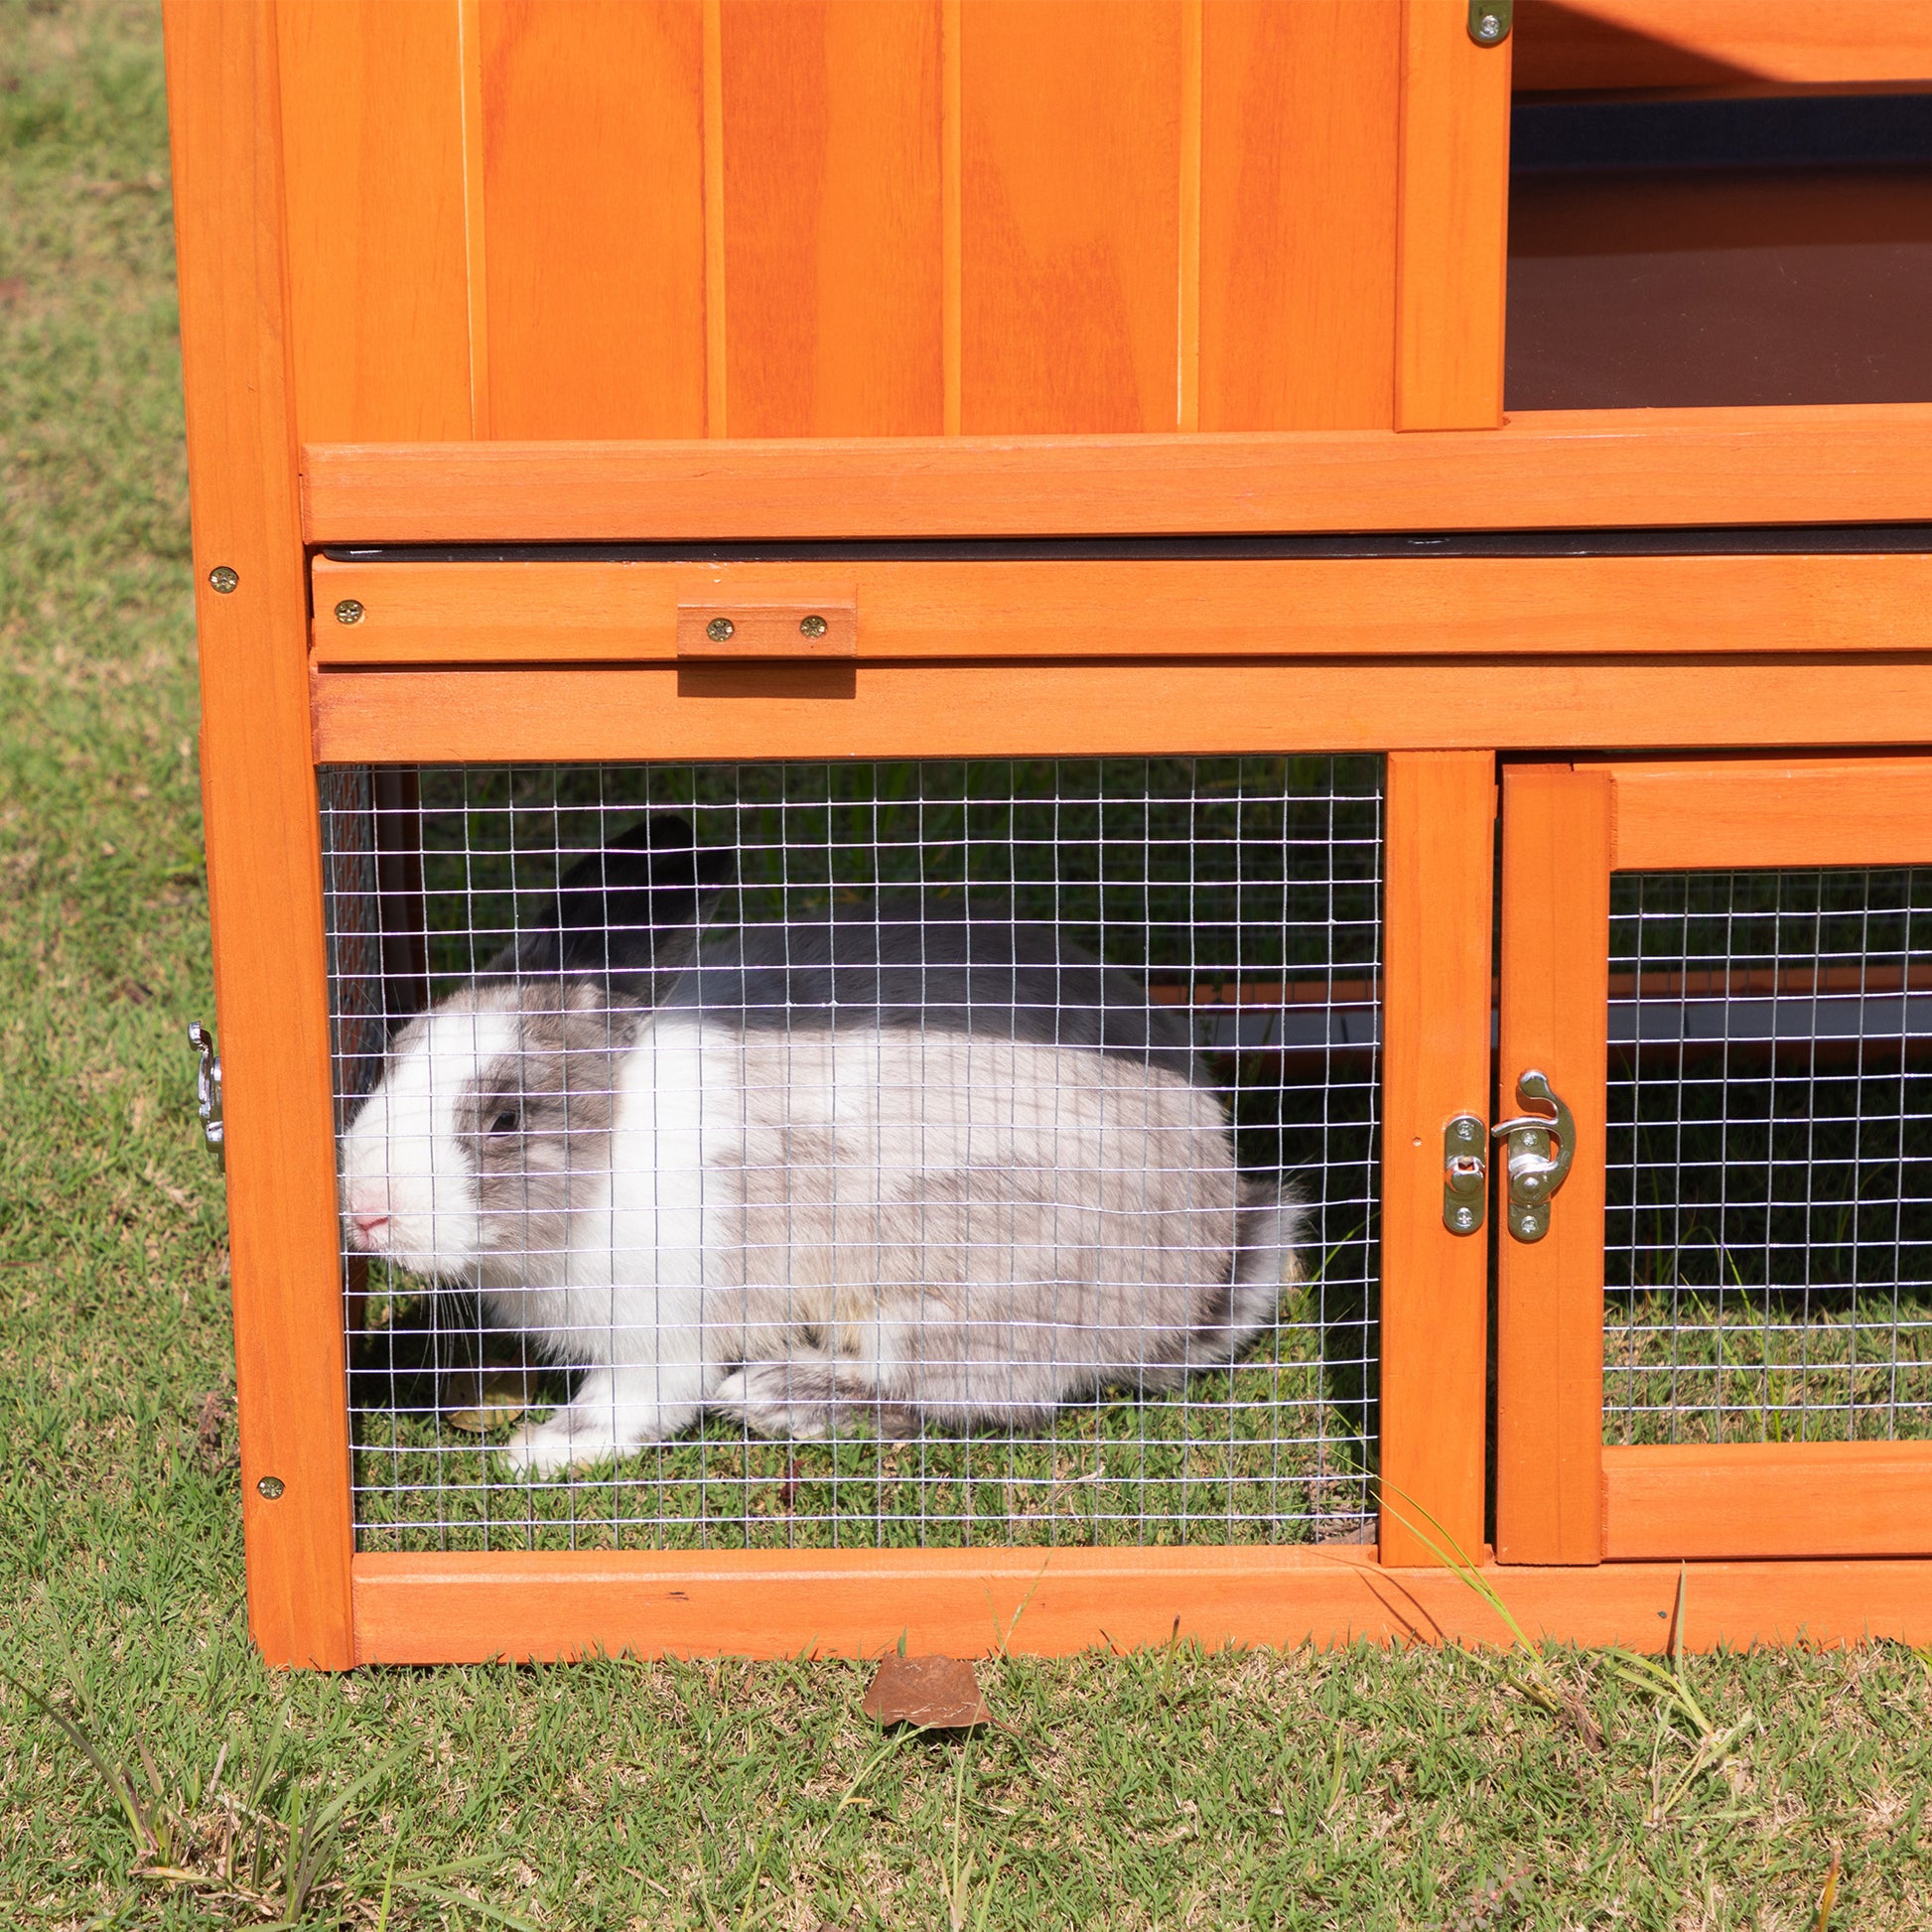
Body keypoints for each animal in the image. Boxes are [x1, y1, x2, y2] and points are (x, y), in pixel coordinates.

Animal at [340, 837, 1302, 1476]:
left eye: (506, 1118)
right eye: (396, 1054)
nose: (367, 1212)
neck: (608, 1145)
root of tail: (1202, 1276)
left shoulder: (658, 1332)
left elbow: (631, 1407)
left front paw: (537, 1451)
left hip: (945, 1298)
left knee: (946, 1396)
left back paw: (773, 1396)